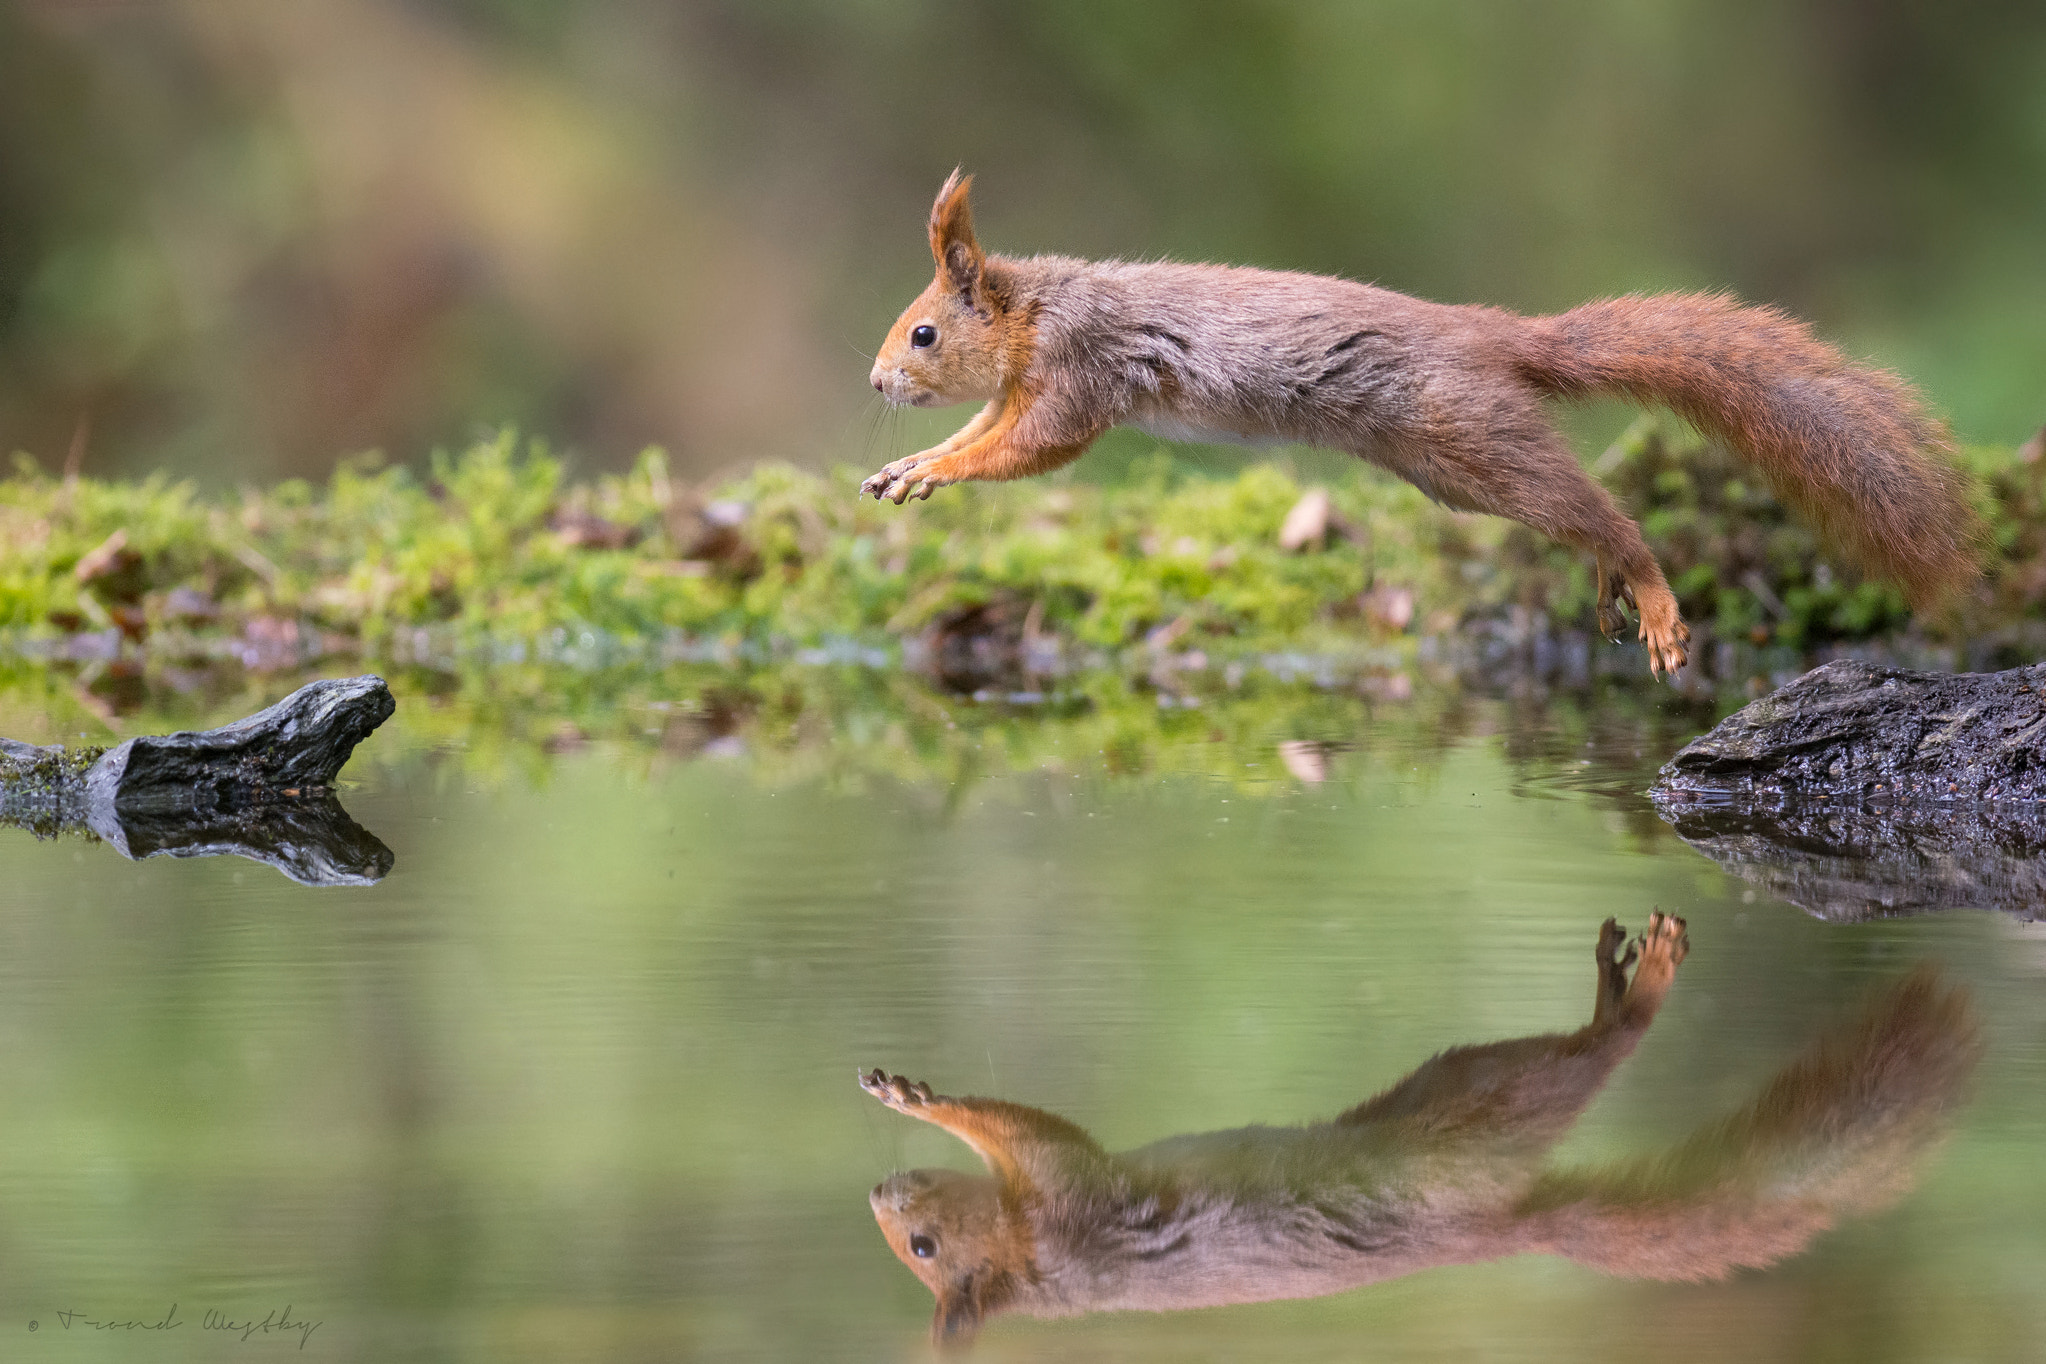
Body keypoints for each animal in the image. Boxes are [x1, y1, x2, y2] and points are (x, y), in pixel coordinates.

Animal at [862, 913, 1980, 1350]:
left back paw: (1642, 986)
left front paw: (912, 1096)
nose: (877, 1192)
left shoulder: (1068, 1204)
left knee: (1585, 1058)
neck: (1039, 1268)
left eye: (921, 1247)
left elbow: (1022, 1127)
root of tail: (1511, 1223)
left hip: (1482, 1098)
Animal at [863, 172, 1981, 675]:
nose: (874, 383)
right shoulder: (1023, 384)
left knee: (1601, 512)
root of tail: (1496, 335)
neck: (1038, 309)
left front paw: (931, 472)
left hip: (1471, 439)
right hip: (1448, 466)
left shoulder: (1080, 373)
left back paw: (1652, 592)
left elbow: (1030, 449)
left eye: (923, 332)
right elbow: (983, 435)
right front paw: (909, 465)